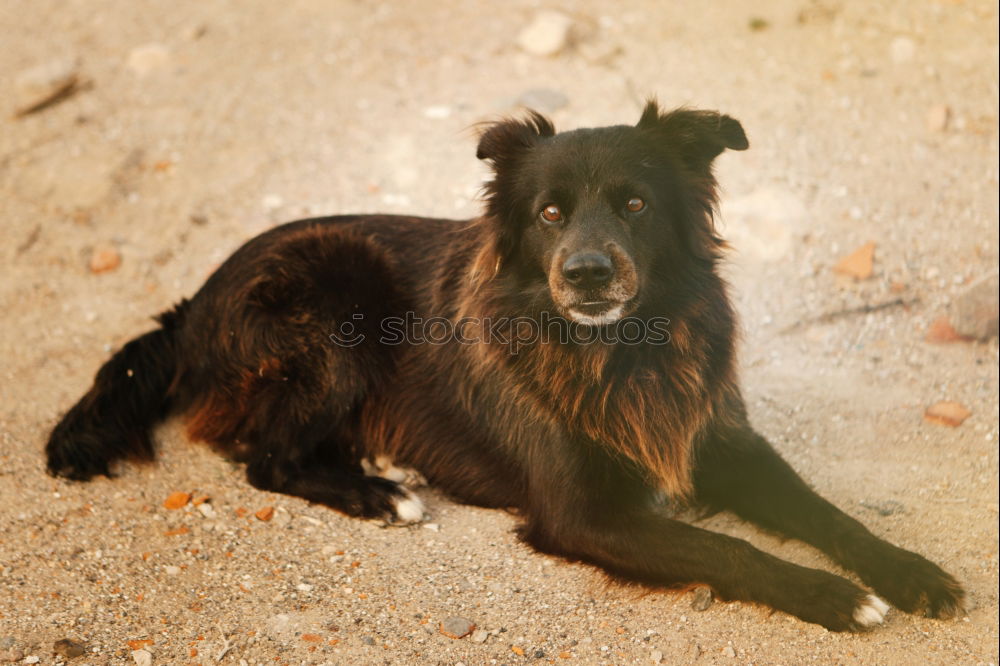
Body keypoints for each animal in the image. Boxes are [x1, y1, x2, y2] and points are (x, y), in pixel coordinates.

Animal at [45, 102, 960, 628]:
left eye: (635, 203)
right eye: (549, 214)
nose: (585, 273)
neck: (620, 351)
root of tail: (193, 305)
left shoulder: (721, 442)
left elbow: (826, 513)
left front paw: (907, 570)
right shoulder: (582, 515)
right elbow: (727, 552)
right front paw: (835, 598)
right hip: (333, 312)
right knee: (265, 458)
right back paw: (378, 491)